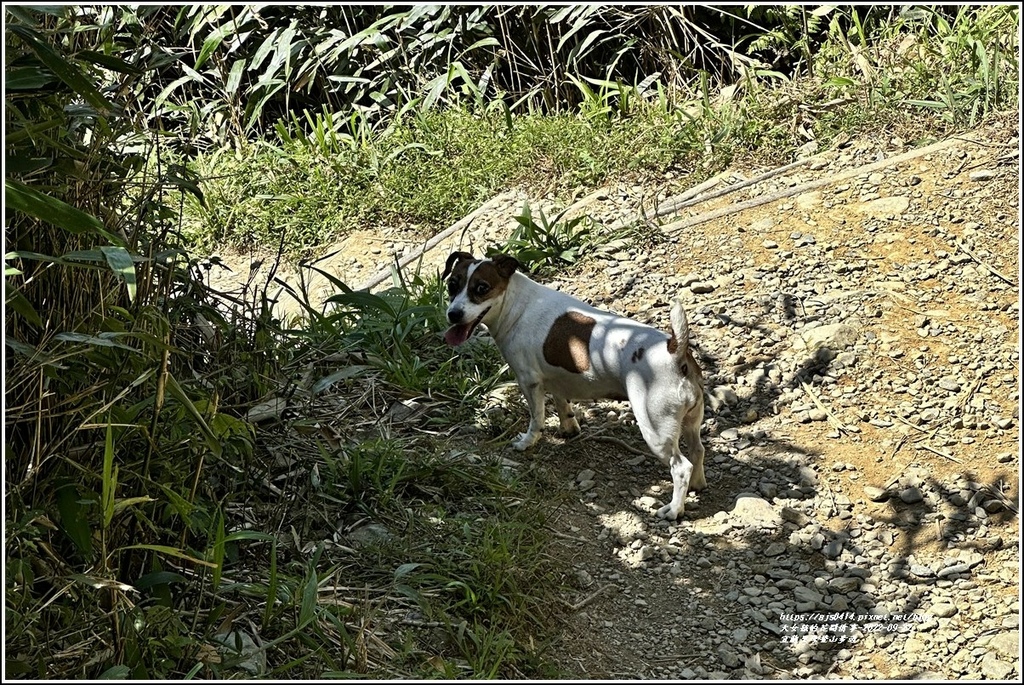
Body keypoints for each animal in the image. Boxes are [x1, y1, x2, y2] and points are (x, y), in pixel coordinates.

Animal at [440, 250, 704, 518]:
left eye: (482, 288)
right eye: (452, 285)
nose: (453, 314)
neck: (517, 304)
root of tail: (675, 351)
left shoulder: (529, 381)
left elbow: (536, 418)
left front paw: (527, 442)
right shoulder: (556, 379)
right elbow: (562, 404)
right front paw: (568, 427)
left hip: (655, 429)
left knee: (680, 467)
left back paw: (674, 509)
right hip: (690, 422)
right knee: (697, 451)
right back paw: (697, 484)